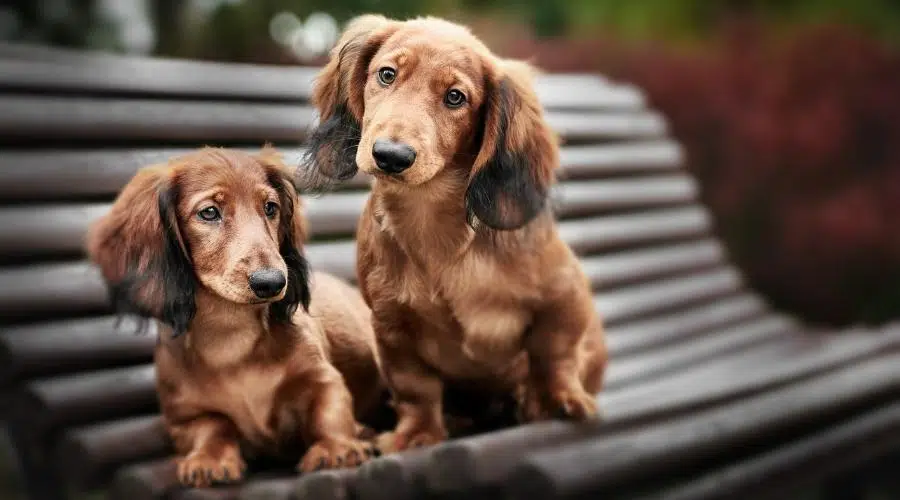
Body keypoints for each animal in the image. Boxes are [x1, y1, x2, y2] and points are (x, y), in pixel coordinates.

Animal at [89, 146, 386, 486]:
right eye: (209, 213)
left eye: (270, 207)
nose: (272, 282)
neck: (232, 338)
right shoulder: (185, 415)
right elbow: (211, 428)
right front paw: (209, 459)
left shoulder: (321, 377)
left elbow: (328, 409)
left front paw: (336, 447)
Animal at [298, 16, 608, 454]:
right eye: (387, 74)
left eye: (456, 97)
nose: (391, 156)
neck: (436, 228)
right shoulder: (392, 329)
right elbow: (416, 388)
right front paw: (418, 433)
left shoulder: (565, 296)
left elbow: (555, 355)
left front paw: (558, 398)